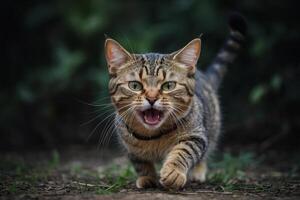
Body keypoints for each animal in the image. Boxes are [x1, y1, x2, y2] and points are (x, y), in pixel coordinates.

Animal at [103, 13, 246, 189]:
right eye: (135, 85)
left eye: (168, 85)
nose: (152, 98)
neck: (152, 137)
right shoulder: (128, 146)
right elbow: (140, 163)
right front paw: (147, 177)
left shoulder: (196, 135)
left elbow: (183, 152)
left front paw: (174, 172)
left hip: (211, 128)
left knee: (205, 153)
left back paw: (198, 173)